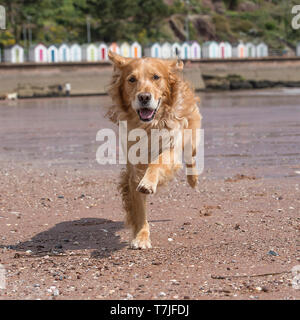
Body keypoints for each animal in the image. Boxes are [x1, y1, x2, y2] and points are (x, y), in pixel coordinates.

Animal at [108, 51, 202, 249]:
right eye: (132, 79)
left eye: (156, 77)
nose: (144, 97)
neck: (149, 126)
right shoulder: (134, 169)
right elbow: (139, 210)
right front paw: (141, 237)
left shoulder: (171, 148)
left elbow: (157, 162)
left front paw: (149, 182)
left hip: (191, 133)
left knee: (191, 157)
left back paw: (193, 180)